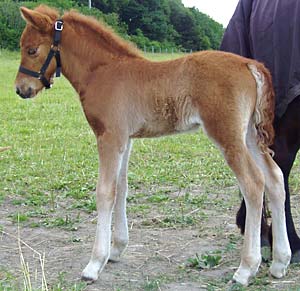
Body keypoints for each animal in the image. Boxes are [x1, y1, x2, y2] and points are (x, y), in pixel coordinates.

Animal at [14, 5, 290, 288]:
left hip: (228, 136)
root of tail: (250, 64)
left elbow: (104, 192)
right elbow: (121, 188)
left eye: (32, 50)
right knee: (275, 179)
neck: (102, 72)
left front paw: (94, 264)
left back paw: (246, 268)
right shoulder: (124, 140)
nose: (21, 89)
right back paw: (280, 263)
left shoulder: (109, 137)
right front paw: (116, 249)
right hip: (250, 136)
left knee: (253, 184)